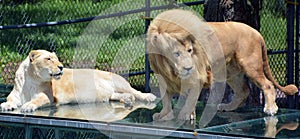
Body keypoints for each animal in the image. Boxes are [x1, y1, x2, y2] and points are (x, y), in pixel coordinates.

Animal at [1, 49, 157, 112]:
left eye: (57, 59)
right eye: (48, 59)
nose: (61, 67)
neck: (31, 79)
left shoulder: (48, 96)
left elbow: (37, 100)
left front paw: (28, 106)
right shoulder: (15, 94)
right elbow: (10, 99)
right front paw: (6, 105)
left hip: (119, 82)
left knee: (135, 91)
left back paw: (148, 97)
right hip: (110, 93)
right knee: (118, 95)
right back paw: (127, 100)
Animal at [146, 9, 298, 121]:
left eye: (190, 50)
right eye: (176, 54)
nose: (189, 68)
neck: (170, 68)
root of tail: (256, 32)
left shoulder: (198, 75)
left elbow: (190, 98)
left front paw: (186, 114)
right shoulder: (163, 77)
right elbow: (166, 99)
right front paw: (164, 115)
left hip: (250, 65)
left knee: (267, 84)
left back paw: (271, 109)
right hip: (230, 72)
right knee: (243, 90)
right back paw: (227, 107)